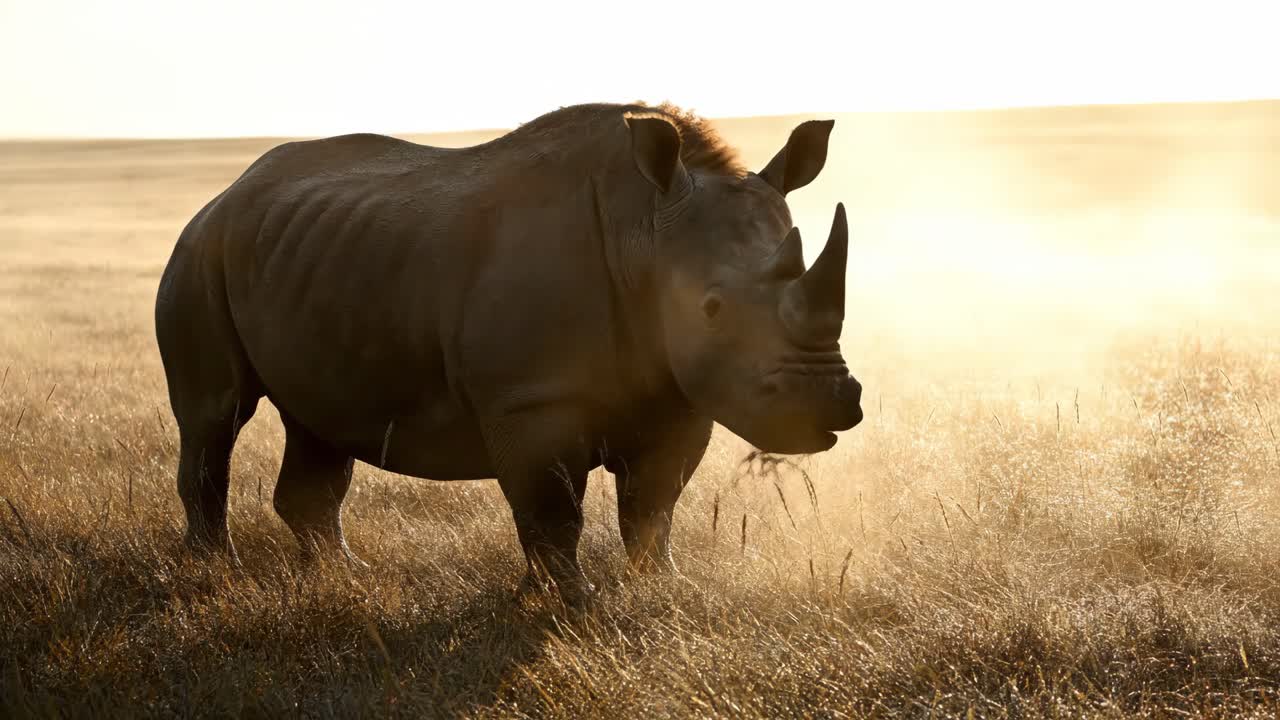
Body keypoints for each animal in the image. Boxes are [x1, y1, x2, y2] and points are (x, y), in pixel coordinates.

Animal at [155, 102, 863, 602]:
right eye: (712, 307)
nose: (829, 404)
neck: (646, 232)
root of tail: (227, 192)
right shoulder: (531, 399)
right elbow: (551, 511)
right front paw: (569, 604)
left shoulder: (678, 394)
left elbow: (653, 505)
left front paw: (661, 587)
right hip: (200, 251)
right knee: (215, 415)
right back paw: (217, 575)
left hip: (312, 257)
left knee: (319, 420)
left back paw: (342, 577)